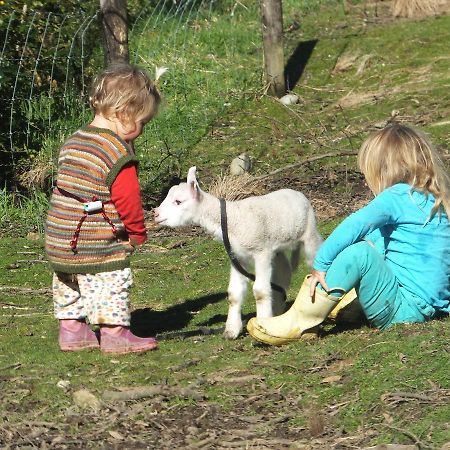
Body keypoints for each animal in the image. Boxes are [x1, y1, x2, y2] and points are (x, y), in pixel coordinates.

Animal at [153, 167, 322, 340]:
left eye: (178, 201)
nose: (155, 214)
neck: (230, 220)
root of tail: (296, 192)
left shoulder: (261, 252)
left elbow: (260, 292)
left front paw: (260, 326)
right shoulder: (238, 257)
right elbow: (234, 294)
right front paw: (231, 331)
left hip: (309, 231)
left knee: (314, 258)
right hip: (277, 247)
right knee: (283, 273)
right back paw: (277, 312)